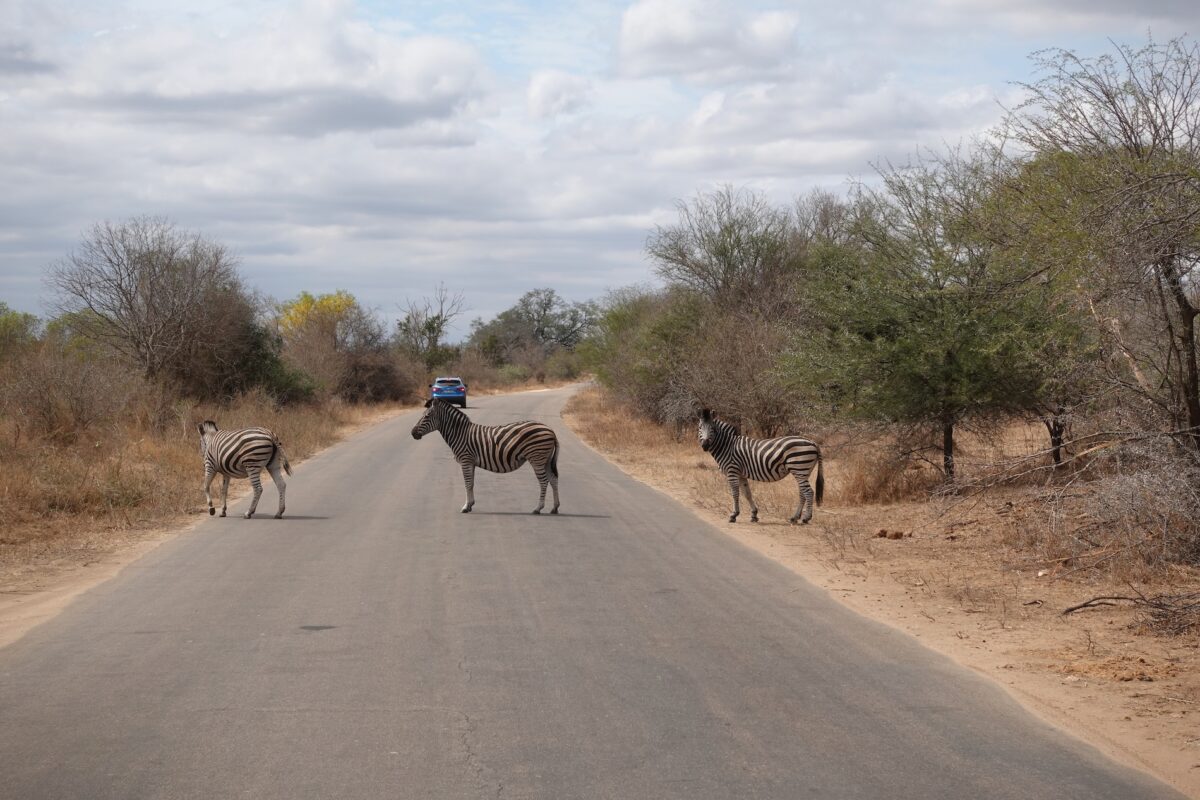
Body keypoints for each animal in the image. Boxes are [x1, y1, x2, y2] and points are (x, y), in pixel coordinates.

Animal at [411, 399, 560, 515]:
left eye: (426, 416)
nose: (413, 433)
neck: (459, 434)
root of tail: (550, 430)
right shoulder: (471, 462)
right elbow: (471, 484)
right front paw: (470, 505)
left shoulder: (465, 460)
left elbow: (467, 483)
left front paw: (465, 507)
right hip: (546, 460)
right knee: (553, 479)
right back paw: (554, 508)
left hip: (537, 458)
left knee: (544, 482)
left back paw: (538, 508)